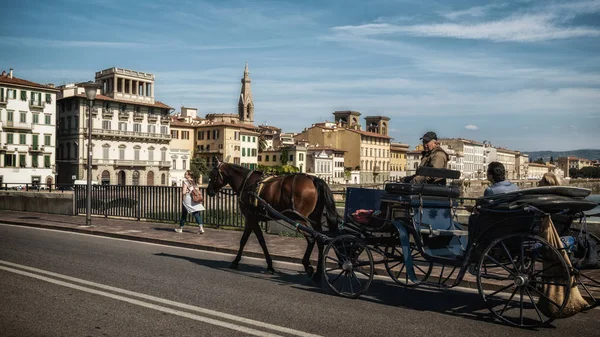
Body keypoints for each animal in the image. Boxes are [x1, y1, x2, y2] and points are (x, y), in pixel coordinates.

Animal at [206, 159, 340, 280]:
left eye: (211, 175)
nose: (208, 191)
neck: (247, 183)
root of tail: (313, 179)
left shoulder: (251, 219)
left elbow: (259, 241)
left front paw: (268, 265)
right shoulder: (250, 219)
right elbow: (244, 240)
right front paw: (237, 261)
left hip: (299, 218)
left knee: (312, 239)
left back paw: (307, 266)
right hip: (314, 218)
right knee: (320, 241)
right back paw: (318, 273)